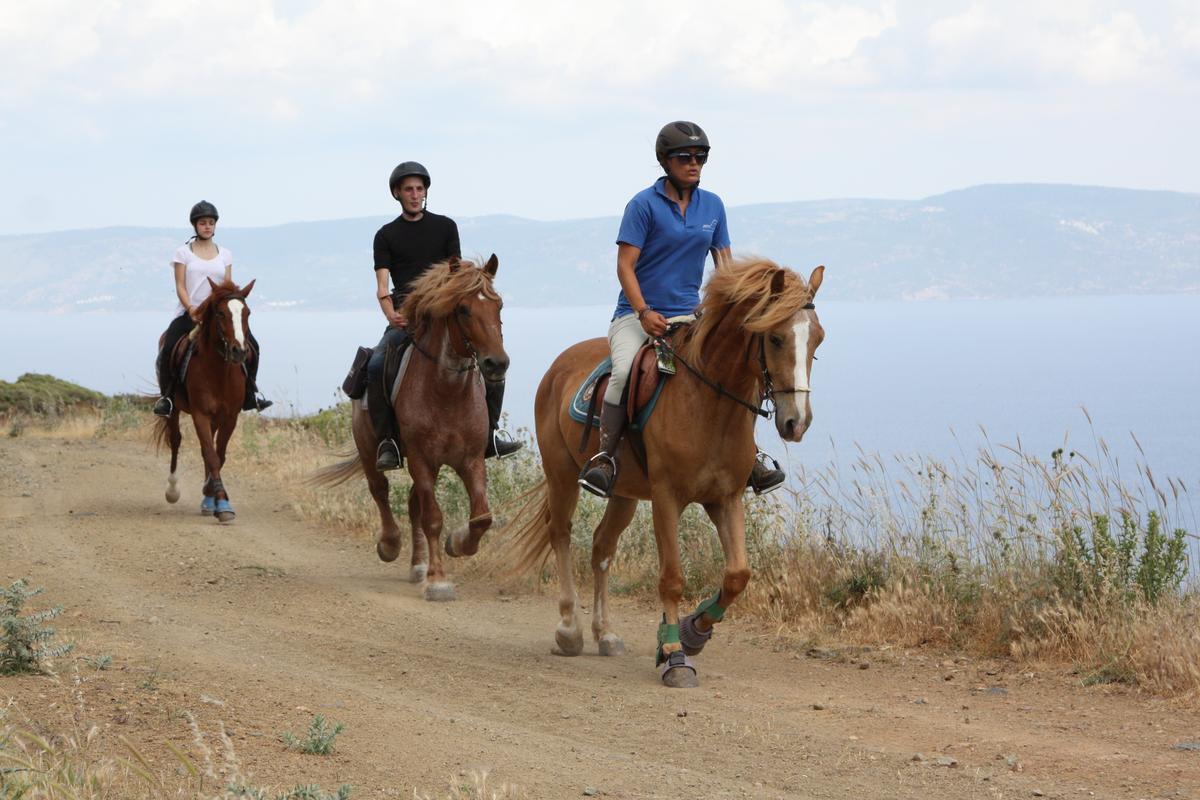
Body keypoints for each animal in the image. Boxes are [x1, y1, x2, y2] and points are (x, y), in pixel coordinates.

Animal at [154, 278, 257, 523]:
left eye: (247, 313)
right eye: (220, 313)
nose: (239, 351)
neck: (219, 371)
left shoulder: (229, 417)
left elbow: (218, 456)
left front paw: (214, 496)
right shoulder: (200, 414)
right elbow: (211, 455)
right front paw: (221, 502)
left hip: (216, 418)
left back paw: (208, 500)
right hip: (173, 409)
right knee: (176, 441)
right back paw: (173, 490)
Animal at [311, 255, 509, 601]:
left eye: (498, 305)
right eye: (463, 309)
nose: (497, 364)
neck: (447, 392)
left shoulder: (471, 460)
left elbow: (482, 517)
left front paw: (457, 544)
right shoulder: (420, 459)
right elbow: (433, 518)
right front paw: (439, 580)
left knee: (413, 503)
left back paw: (418, 565)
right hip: (371, 449)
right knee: (380, 490)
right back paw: (390, 544)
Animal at [509, 257, 824, 688]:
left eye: (817, 340)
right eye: (775, 338)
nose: (798, 423)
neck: (710, 404)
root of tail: (560, 364)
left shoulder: (725, 498)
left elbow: (737, 575)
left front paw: (694, 632)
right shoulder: (666, 498)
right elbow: (672, 578)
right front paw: (675, 655)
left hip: (623, 493)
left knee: (602, 547)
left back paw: (605, 633)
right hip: (561, 475)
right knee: (560, 534)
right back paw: (570, 629)